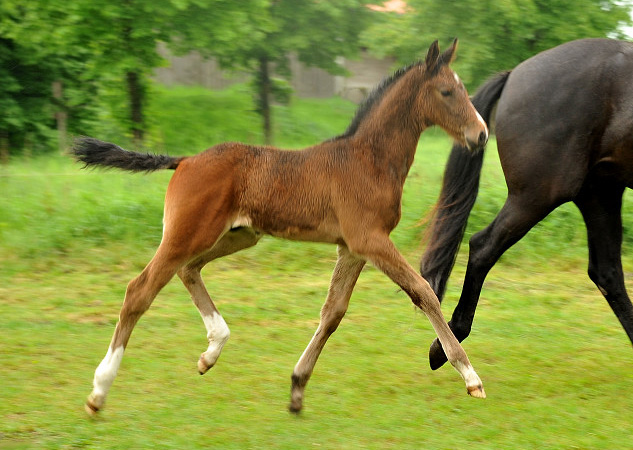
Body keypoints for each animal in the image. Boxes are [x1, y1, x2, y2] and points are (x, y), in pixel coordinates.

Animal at [69, 39, 486, 414]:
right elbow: (423, 292)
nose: (480, 133)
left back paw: (211, 351)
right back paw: (99, 391)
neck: (369, 159)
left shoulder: (352, 247)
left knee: (188, 270)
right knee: (139, 290)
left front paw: (297, 387)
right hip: (186, 234)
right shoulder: (370, 239)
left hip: (237, 236)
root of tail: (185, 160)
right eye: (447, 91)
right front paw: (470, 377)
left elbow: (333, 312)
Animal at [420, 38, 632, 370]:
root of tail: (515, 73)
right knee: (483, 246)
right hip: (539, 194)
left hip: (599, 192)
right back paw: (446, 343)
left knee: (608, 273)